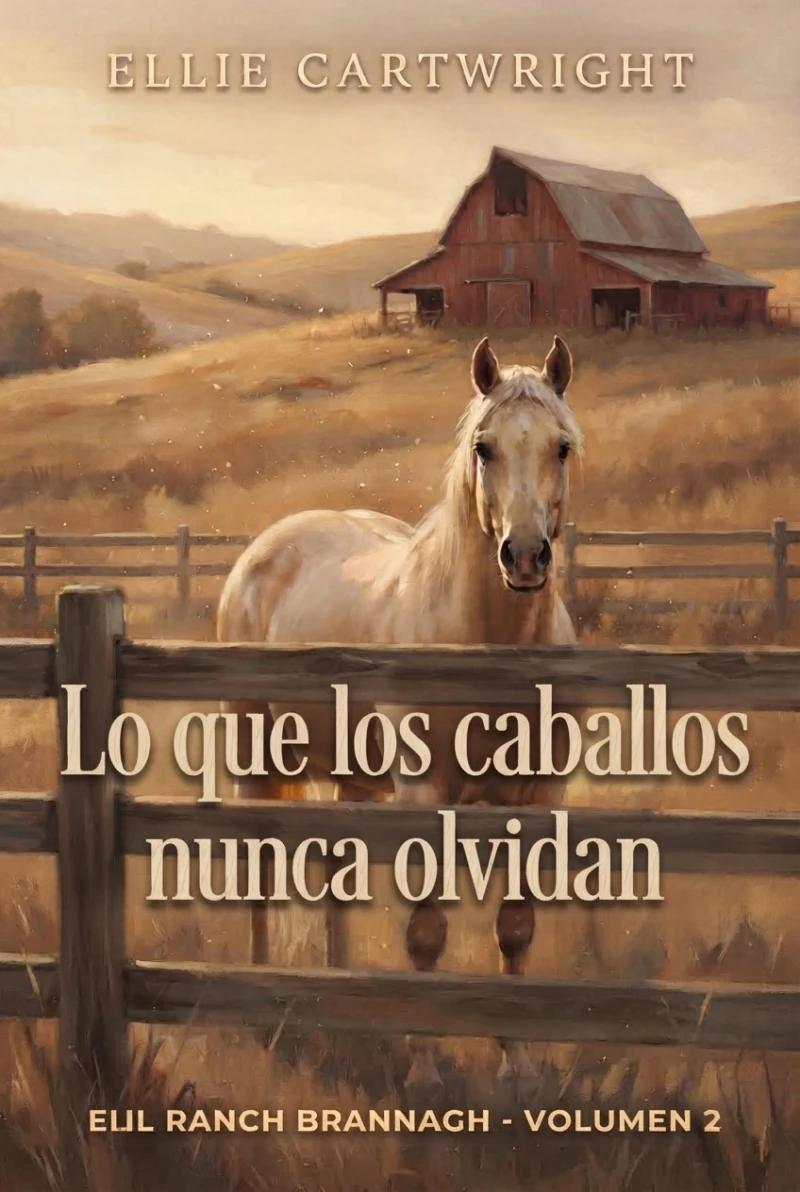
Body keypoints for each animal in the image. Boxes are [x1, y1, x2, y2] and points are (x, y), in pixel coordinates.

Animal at [217, 334, 583, 1087]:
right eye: (483, 447)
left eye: (561, 446)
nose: (525, 557)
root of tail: (266, 547)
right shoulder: (425, 795)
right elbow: (426, 931)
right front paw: (423, 1067)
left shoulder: (538, 798)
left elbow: (515, 929)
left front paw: (518, 1064)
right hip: (254, 756)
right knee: (258, 874)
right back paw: (265, 1012)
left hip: (348, 776)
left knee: (334, 873)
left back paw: (345, 992)